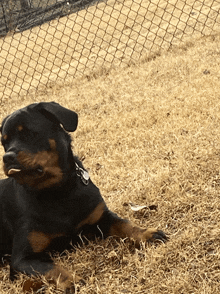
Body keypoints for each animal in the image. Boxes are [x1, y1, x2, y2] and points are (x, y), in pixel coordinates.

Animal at [0, 102, 167, 292]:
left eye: (29, 133)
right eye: (4, 143)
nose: (7, 157)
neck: (58, 192)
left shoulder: (102, 217)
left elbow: (125, 224)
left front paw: (146, 233)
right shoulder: (22, 258)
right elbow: (51, 267)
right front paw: (71, 280)